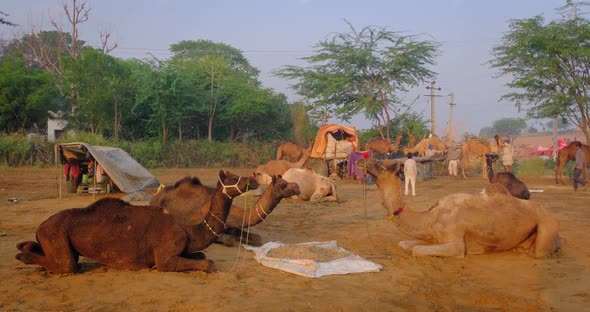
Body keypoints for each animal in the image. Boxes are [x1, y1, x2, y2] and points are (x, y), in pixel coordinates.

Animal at [15, 169, 256, 274]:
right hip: (56, 235)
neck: (189, 231)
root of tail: (41, 226)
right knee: (68, 265)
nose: (252, 180)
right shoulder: (166, 259)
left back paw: (25, 249)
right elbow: (209, 263)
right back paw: (22, 256)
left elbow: (203, 255)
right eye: (234, 178)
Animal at [153, 176, 300, 246]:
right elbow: (229, 240)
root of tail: (156, 196)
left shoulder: (234, 227)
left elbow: (258, 239)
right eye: (283, 184)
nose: (297, 187)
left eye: (286, 180)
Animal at [360, 158, 564, 258]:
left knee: (541, 252)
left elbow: (417, 250)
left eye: (380, 165)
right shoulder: (432, 237)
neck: (429, 218)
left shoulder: (455, 244)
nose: (364, 162)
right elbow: (405, 244)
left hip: (547, 227)